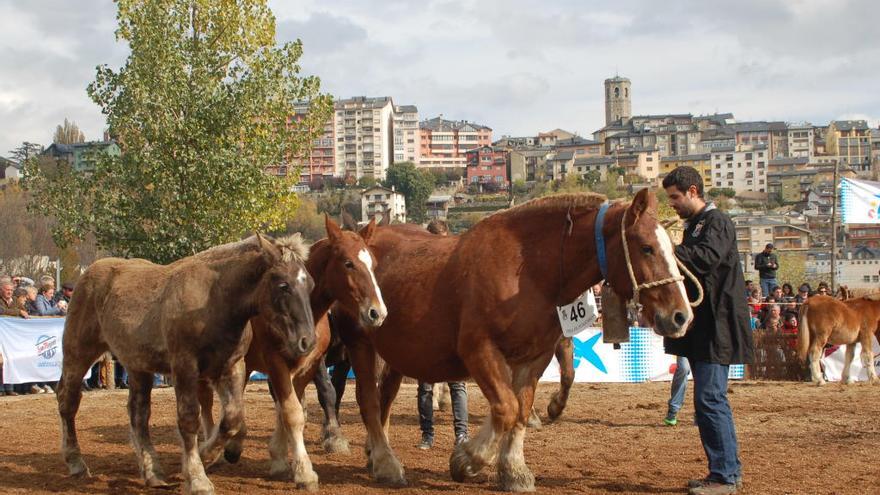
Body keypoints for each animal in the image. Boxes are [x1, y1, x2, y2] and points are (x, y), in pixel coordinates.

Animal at [56, 235, 314, 495]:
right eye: (283, 285)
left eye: (310, 285)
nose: (308, 341)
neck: (214, 300)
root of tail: (89, 273)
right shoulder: (184, 367)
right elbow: (189, 420)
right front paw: (198, 478)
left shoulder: (231, 367)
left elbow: (232, 419)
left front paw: (210, 454)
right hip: (78, 354)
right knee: (68, 401)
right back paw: (76, 463)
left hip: (139, 368)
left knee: (138, 414)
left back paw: (152, 472)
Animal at [199, 218, 384, 492]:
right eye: (348, 263)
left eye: (372, 262)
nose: (377, 312)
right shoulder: (276, 362)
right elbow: (293, 413)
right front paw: (304, 472)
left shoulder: (307, 366)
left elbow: (289, 408)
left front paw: (279, 459)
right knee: (206, 402)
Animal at [330, 190, 696, 492]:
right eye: (646, 247)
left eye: (672, 248)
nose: (682, 316)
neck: (526, 271)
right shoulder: (479, 350)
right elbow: (505, 407)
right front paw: (468, 459)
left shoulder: (534, 357)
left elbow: (520, 409)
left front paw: (513, 469)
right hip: (360, 344)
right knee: (369, 400)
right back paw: (385, 462)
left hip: (396, 352)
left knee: (386, 398)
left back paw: (375, 452)